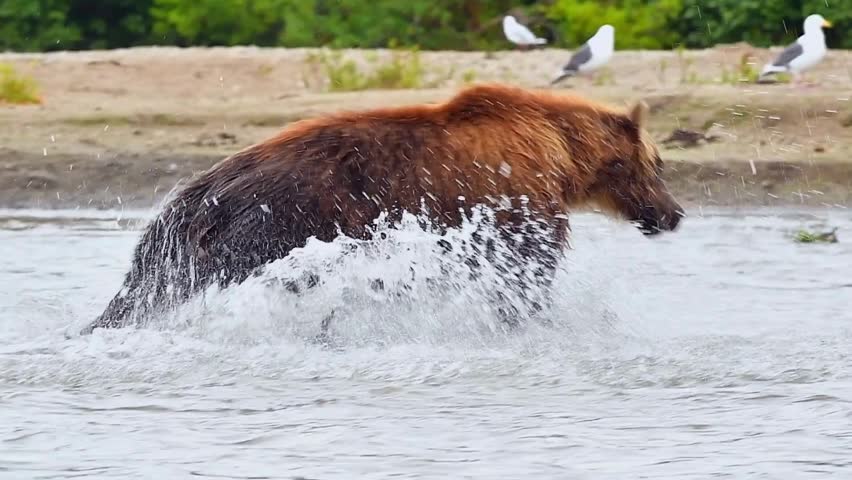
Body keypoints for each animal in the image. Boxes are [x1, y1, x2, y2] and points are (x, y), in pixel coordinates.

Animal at [79, 83, 683, 337]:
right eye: (657, 163)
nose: (674, 213)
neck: (561, 156)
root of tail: (202, 186)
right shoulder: (519, 205)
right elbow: (526, 271)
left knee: (147, 282)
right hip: (268, 224)